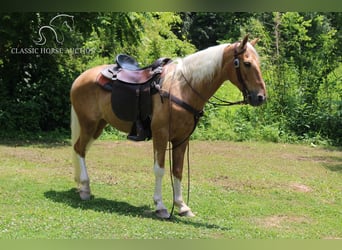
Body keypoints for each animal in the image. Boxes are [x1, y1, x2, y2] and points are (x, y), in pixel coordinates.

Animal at [70, 35, 268, 219]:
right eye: (247, 63)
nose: (260, 97)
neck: (182, 88)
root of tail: (80, 77)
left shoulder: (182, 139)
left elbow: (178, 171)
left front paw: (182, 206)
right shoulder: (161, 135)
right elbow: (160, 169)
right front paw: (160, 206)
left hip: (98, 126)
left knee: (82, 150)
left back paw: (80, 184)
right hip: (88, 124)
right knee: (79, 148)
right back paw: (85, 188)